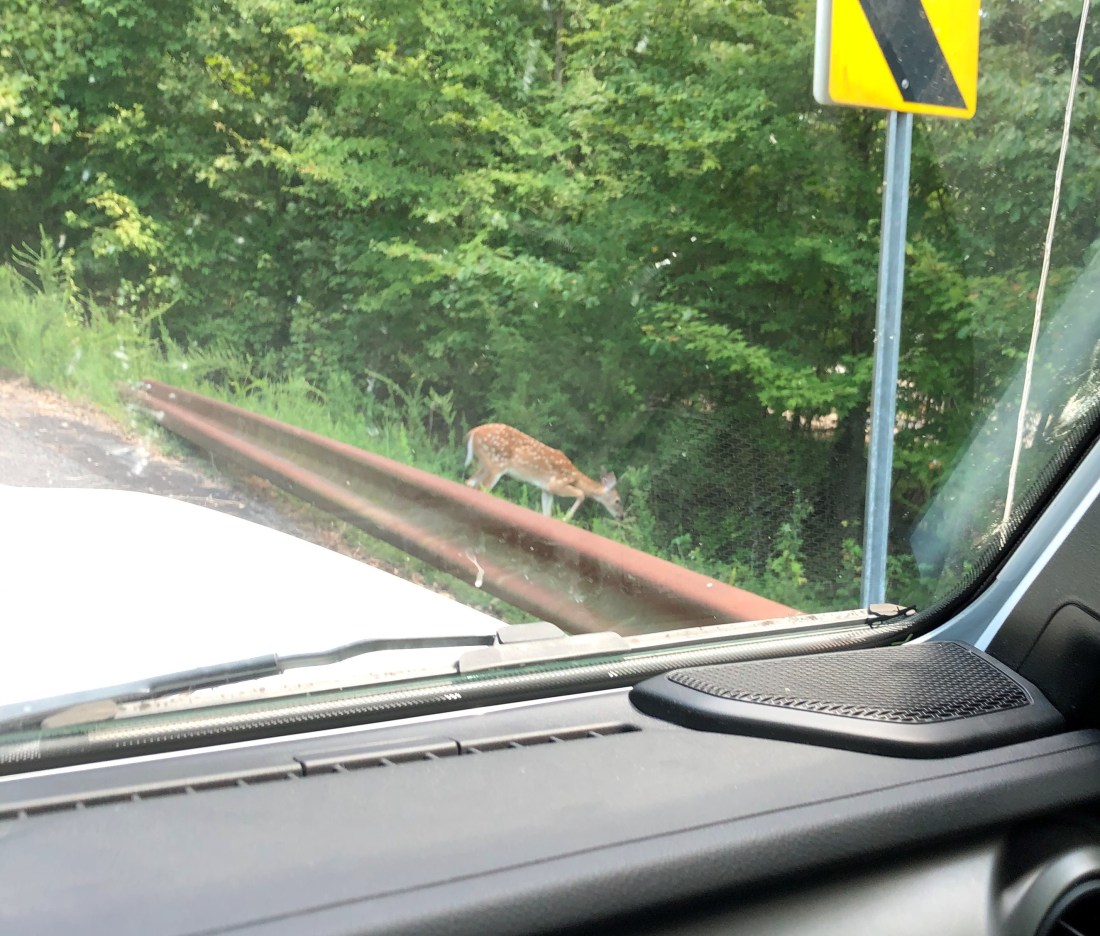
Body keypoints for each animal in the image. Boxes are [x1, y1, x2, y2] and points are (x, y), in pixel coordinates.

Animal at [464, 423, 624, 521]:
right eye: (617, 500)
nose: (622, 516)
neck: (576, 477)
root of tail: (473, 432)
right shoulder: (556, 484)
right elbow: (582, 494)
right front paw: (565, 518)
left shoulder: (546, 490)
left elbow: (546, 514)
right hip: (496, 464)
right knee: (481, 488)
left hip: (484, 464)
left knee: (469, 482)